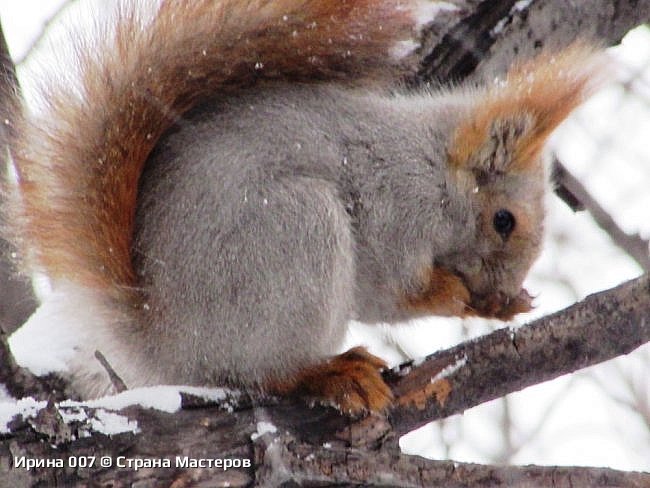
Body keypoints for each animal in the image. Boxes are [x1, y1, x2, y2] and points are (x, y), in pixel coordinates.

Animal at [3, 0, 604, 414]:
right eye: (504, 221)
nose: (500, 291)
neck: (432, 167)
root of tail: (166, 344)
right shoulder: (394, 210)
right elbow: (389, 294)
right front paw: (457, 296)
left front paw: (505, 306)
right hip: (296, 234)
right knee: (263, 373)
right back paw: (329, 373)